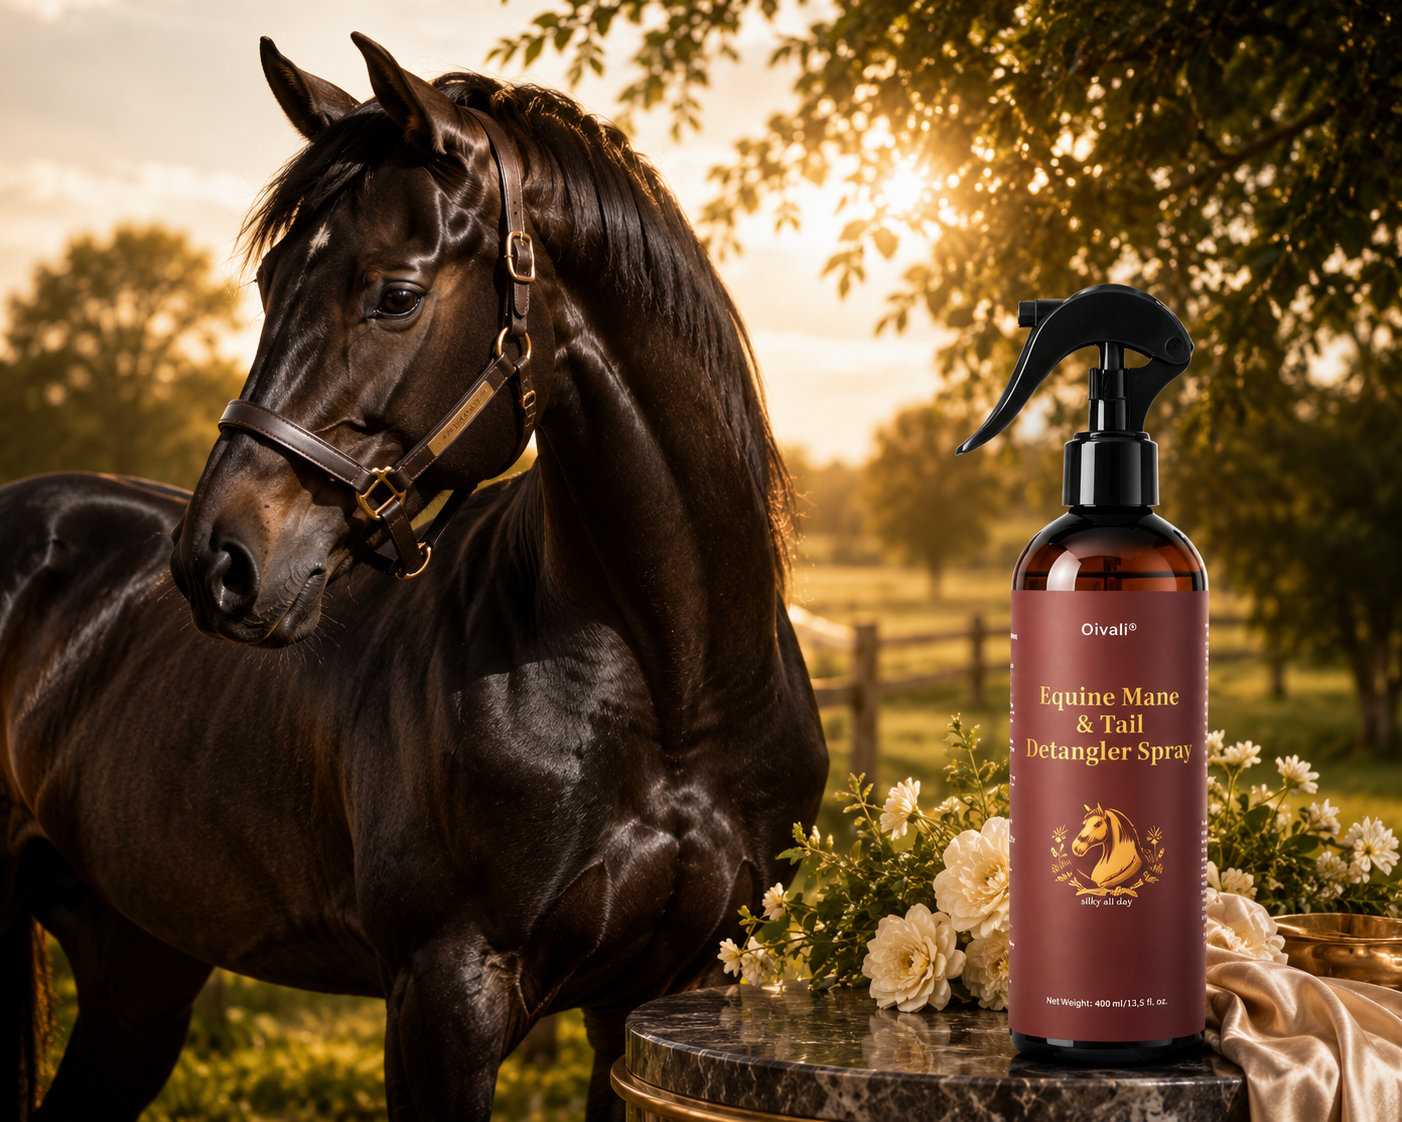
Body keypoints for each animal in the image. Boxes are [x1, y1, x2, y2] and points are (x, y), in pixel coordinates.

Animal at [0, 34, 827, 1122]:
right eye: (268, 287)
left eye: (395, 294)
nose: (216, 564)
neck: (677, 692)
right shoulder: (444, 997)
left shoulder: (656, 1001)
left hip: (138, 969)